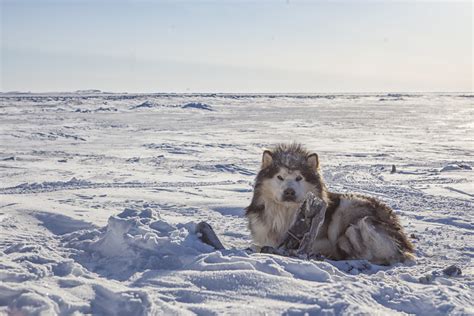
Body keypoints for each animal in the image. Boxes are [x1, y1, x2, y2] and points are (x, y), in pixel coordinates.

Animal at [246, 143, 412, 264]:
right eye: (279, 177)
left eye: (299, 178)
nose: (289, 192)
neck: (287, 215)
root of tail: (406, 246)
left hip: (350, 209)